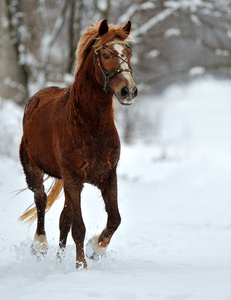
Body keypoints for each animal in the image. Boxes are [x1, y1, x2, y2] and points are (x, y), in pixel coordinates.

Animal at [19, 18, 137, 268]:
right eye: (105, 54)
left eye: (129, 52)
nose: (129, 91)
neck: (91, 126)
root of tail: (35, 99)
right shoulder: (73, 179)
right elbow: (78, 227)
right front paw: (81, 265)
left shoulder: (107, 176)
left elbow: (114, 219)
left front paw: (96, 248)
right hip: (34, 169)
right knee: (41, 200)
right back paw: (40, 245)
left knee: (64, 218)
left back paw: (59, 258)